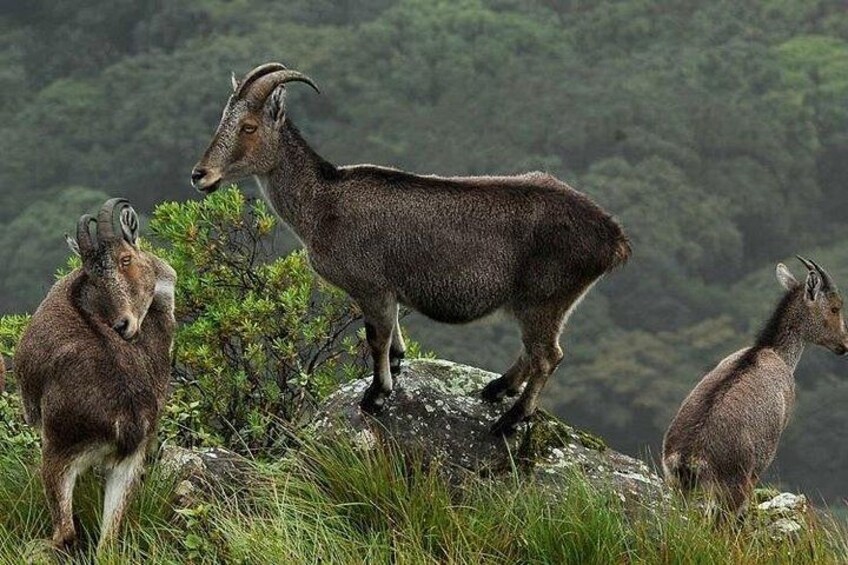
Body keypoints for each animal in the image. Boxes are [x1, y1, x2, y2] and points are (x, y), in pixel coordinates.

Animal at [15, 199, 177, 552]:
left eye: (125, 258)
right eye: (93, 273)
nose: (123, 325)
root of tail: (125, 417)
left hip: (59, 451)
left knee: (65, 532)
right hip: (128, 465)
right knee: (108, 540)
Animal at [191, 62, 630, 435]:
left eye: (248, 127)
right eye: (223, 121)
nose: (200, 175)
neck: (323, 202)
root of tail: (612, 237)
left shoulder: (371, 286)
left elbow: (376, 338)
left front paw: (375, 395)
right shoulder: (387, 290)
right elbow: (392, 336)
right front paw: (398, 365)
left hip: (544, 300)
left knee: (548, 356)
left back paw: (509, 419)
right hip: (542, 305)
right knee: (535, 352)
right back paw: (496, 389)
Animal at [662, 257, 848, 517]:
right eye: (834, 307)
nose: (844, 344)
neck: (770, 352)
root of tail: (688, 456)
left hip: (677, 487)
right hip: (731, 485)